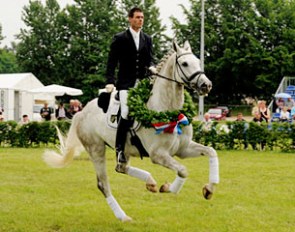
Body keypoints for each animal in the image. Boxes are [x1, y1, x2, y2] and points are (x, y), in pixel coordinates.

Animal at [44, 40, 220, 222]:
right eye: (185, 64)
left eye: (198, 61)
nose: (206, 85)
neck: (169, 111)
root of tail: (81, 112)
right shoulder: (158, 155)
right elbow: (183, 170)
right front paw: (168, 188)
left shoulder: (183, 149)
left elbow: (211, 152)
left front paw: (209, 189)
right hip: (96, 149)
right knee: (103, 183)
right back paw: (123, 216)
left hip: (124, 149)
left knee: (121, 168)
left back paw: (150, 182)